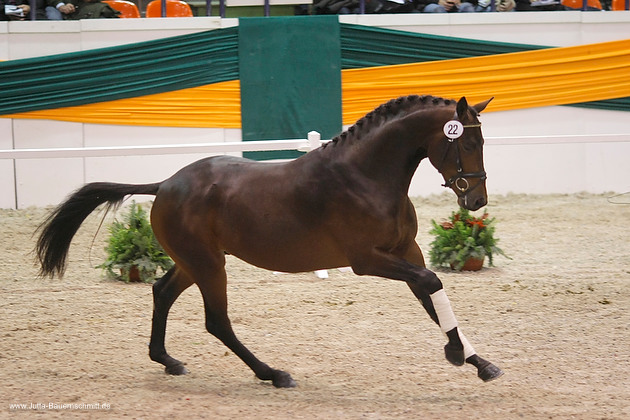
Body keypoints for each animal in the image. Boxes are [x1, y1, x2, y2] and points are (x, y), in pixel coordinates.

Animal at [38, 94, 504, 388]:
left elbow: (430, 297)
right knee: (217, 321)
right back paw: (273, 374)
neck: (365, 176)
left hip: (195, 261)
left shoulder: (407, 252)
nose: (476, 200)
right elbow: (432, 283)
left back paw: (167, 361)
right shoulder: (368, 260)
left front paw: (479, 363)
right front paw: (456, 354)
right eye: (466, 141)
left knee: (162, 292)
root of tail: (167, 184)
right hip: (209, 265)